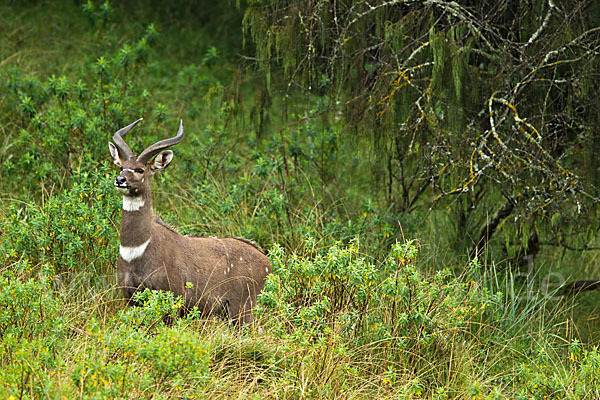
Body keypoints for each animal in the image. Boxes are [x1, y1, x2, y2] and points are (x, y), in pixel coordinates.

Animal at [109, 118, 270, 324]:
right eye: (121, 167)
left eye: (140, 169)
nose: (120, 179)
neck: (136, 248)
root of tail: (268, 263)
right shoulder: (131, 298)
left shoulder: (172, 298)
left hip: (243, 309)